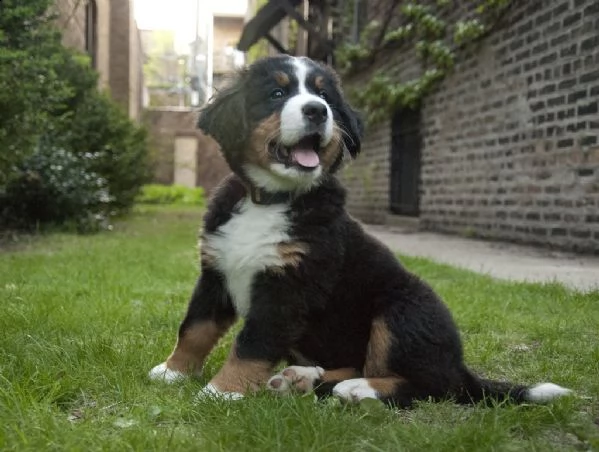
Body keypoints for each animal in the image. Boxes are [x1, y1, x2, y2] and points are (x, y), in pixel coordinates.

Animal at [150, 54, 572, 408]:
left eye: (324, 97)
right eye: (277, 93)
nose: (317, 111)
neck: (269, 200)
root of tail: (460, 366)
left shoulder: (287, 287)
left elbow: (252, 343)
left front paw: (222, 392)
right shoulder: (216, 272)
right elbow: (195, 328)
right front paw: (173, 371)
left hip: (403, 309)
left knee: (431, 386)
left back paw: (358, 389)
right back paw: (301, 379)